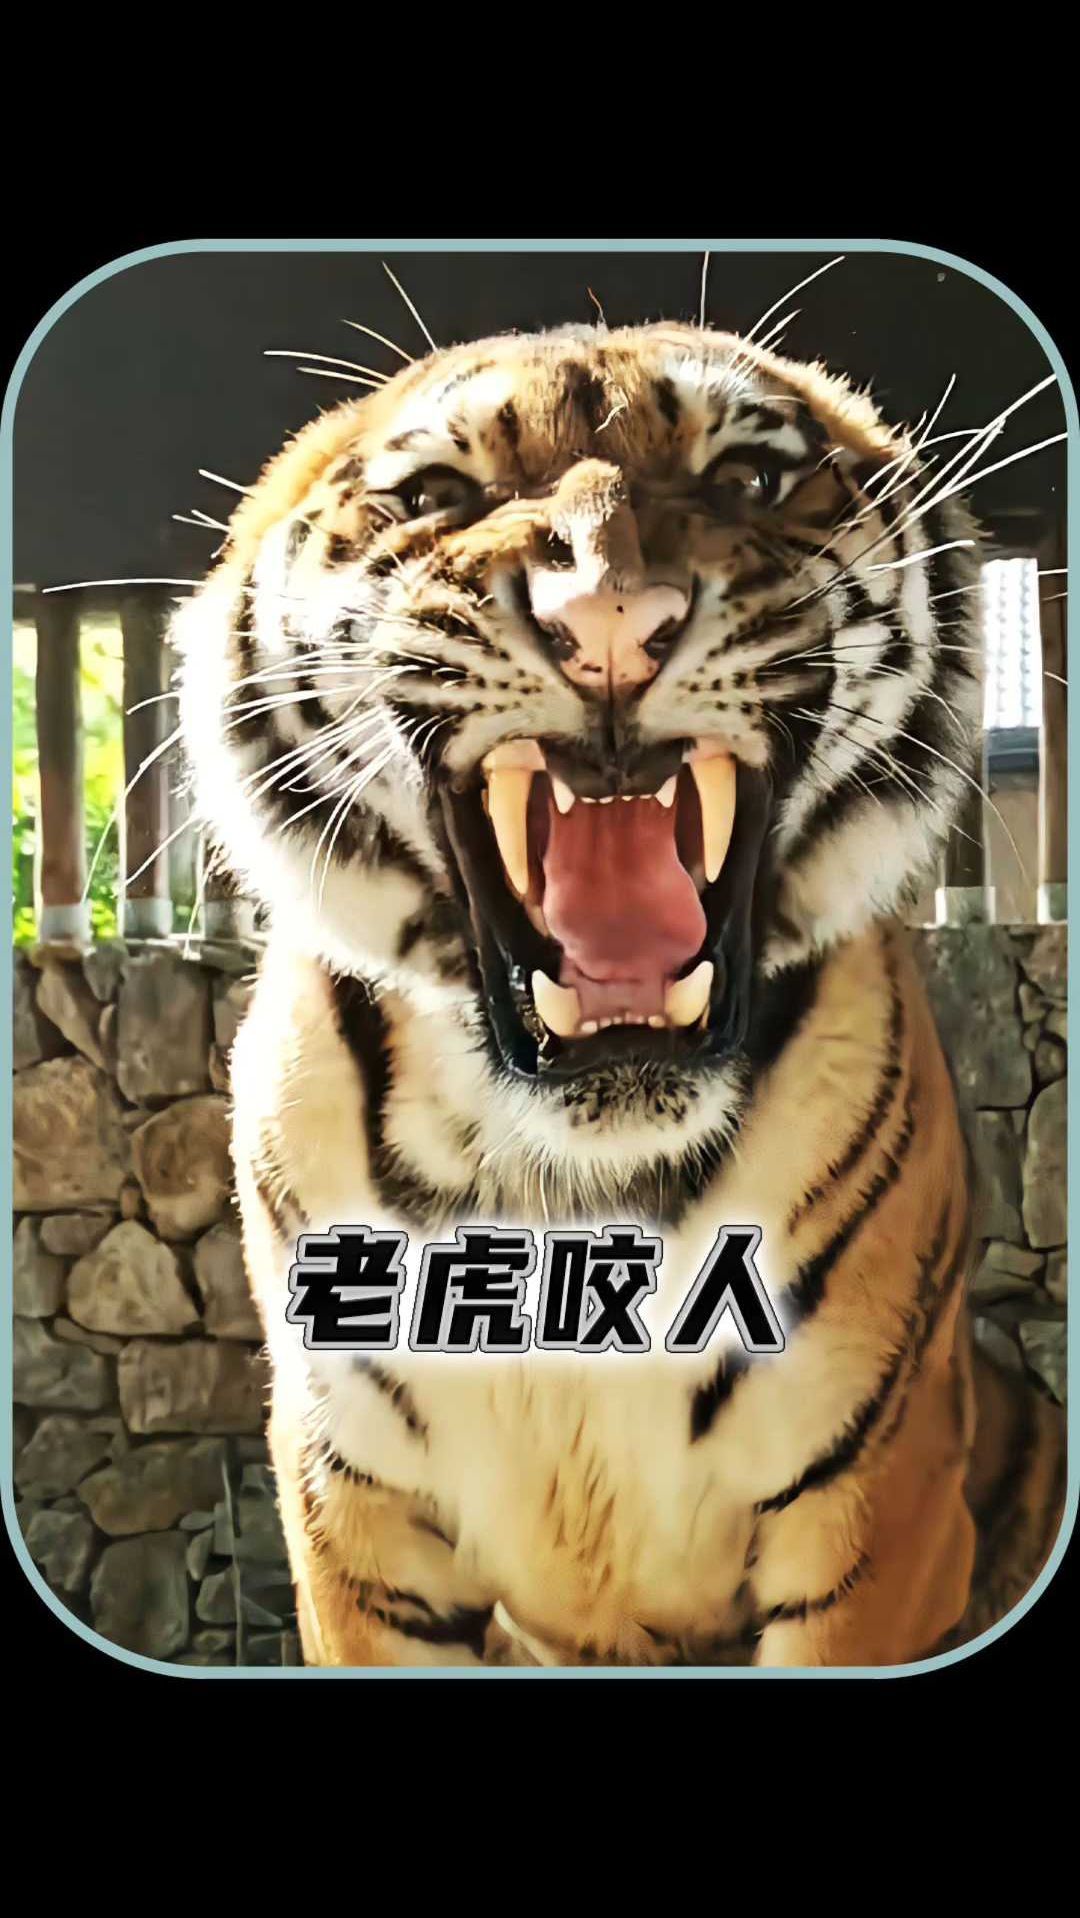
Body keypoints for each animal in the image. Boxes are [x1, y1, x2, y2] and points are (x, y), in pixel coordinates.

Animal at [176, 312, 1066, 1668]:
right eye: (439, 497)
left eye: (745, 478)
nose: (606, 618)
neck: (564, 1185)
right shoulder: (352, 1511)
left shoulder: (878, 1505)